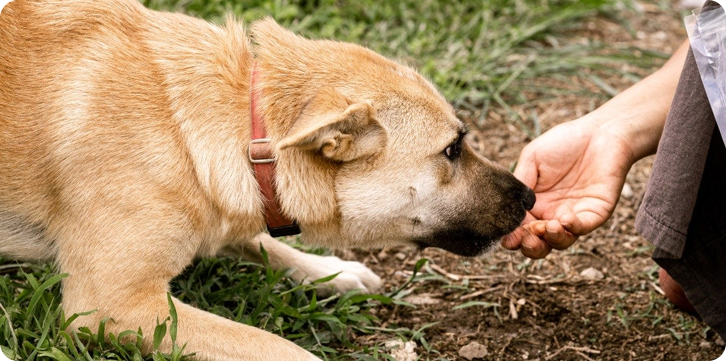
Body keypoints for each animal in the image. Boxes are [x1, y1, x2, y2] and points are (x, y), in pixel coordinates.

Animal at [0, 0, 536, 360]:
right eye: (451, 150)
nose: (530, 196)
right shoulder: (112, 304)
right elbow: (284, 348)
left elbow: (265, 242)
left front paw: (332, 270)